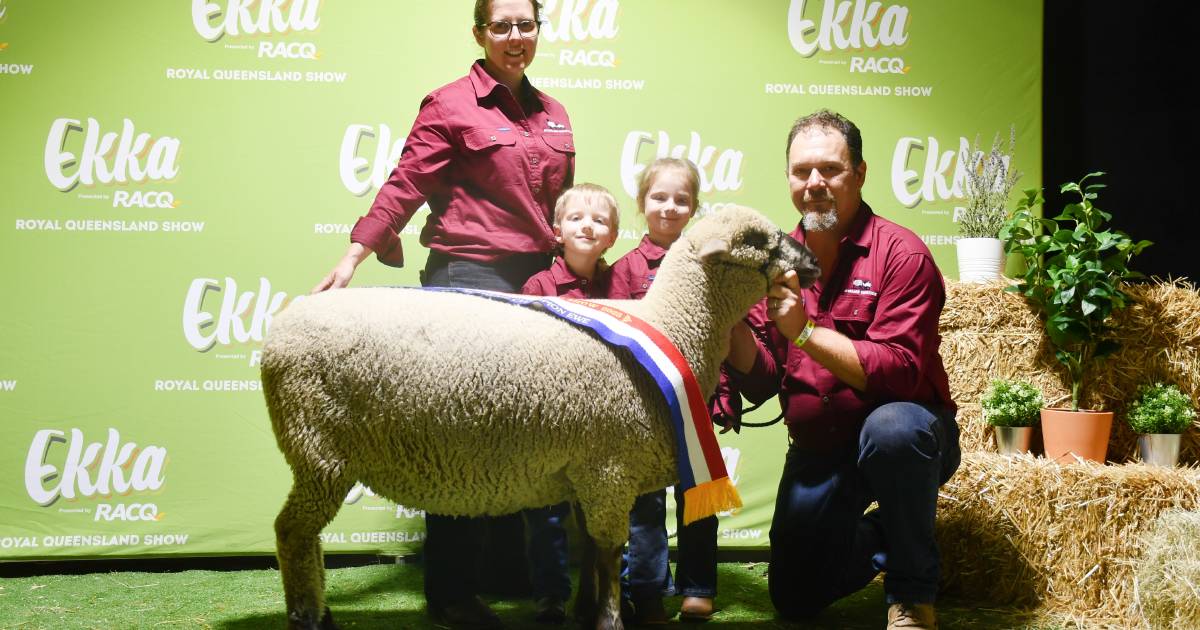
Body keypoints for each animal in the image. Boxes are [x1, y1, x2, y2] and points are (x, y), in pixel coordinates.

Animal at [262, 206, 825, 628]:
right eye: (756, 240)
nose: (813, 262)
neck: (672, 325)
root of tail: (278, 334)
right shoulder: (609, 468)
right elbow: (609, 548)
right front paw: (608, 619)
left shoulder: (585, 472)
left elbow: (593, 551)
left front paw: (583, 610)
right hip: (319, 448)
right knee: (292, 532)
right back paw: (308, 617)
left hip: (316, 453)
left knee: (304, 535)